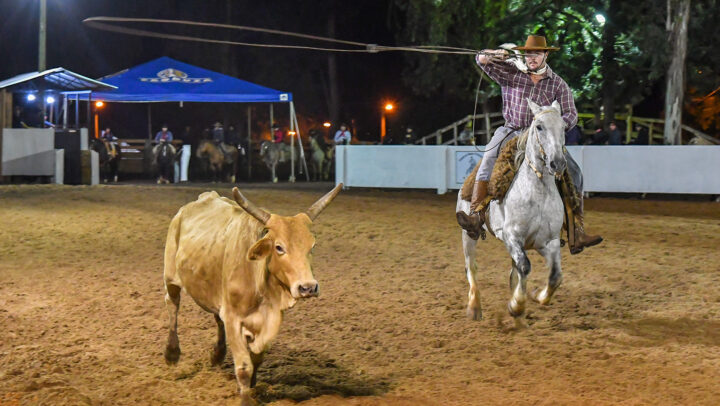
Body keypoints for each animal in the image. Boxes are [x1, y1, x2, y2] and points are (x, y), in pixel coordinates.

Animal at [163, 185, 344, 406]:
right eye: (279, 247)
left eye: (312, 246)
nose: (308, 287)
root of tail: (202, 198)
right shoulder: (234, 319)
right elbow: (243, 366)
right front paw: (246, 398)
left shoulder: (268, 320)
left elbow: (257, 358)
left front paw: (254, 386)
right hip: (171, 276)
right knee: (173, 305)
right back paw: (172, 353)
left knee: (216, 318)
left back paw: (217, 354)